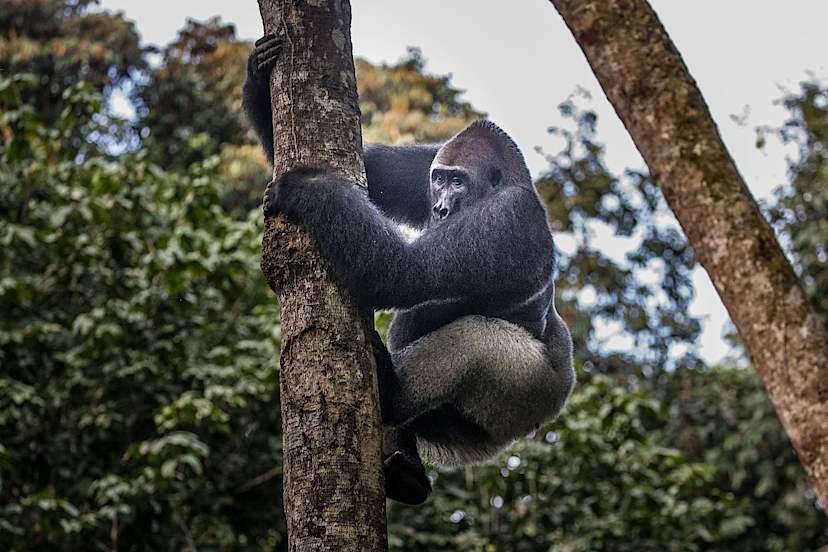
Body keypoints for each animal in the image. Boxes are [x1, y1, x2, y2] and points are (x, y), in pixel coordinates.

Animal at [244, 35, 575, 505]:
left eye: (458, 182)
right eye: (439, 180)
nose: (440, 208)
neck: (511, 182)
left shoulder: (509, 218)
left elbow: (402, 273)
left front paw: (310, 188)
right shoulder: (426, 161)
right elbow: (370, 170)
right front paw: (257, 76)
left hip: (527, 398)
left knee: (476, 339)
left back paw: (393, 393)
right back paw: (407, 464)